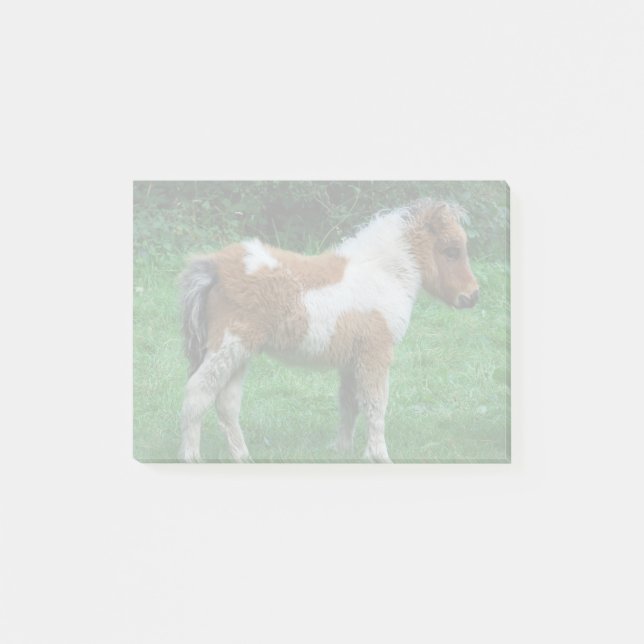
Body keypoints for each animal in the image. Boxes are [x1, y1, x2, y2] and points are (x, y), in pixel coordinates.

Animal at [179, 198, 479, 463]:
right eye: (451, 250)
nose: (472, 296)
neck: (383, 274)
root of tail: (215, 267)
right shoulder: (376, 353)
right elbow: (376, 404)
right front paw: (379, 456)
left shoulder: (352, 359)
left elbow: (350, 404)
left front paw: (343, 451)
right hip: (229, 345)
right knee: (198, 393)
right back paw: (191, 456)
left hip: (240, 353)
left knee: (227, 404)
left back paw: (243, 457)